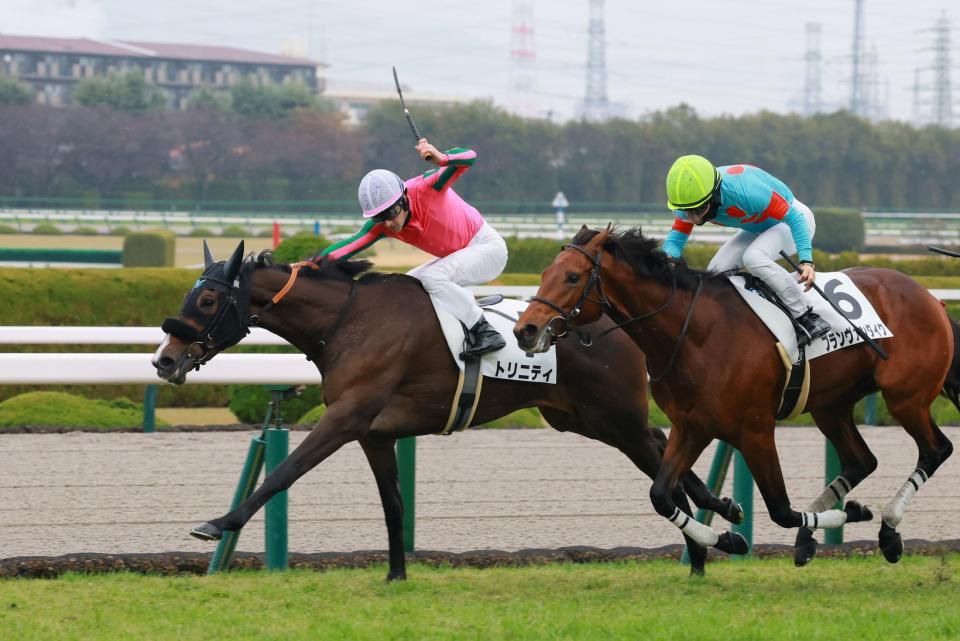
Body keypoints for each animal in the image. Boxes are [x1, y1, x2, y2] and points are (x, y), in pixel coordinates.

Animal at [151, 241, 743, 580]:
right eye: (188, 295)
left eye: (208, 300)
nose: (163, 359)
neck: (347, 321)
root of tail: (611, 322)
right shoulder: (375, 434)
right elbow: (393, 505)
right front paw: (395, 576)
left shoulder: (346, 417)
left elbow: (283, 473)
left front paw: (217, 523)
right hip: (580, 417)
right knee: (667, 451)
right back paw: (713, 536)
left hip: (613, 418)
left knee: (664, 454)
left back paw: (713, 535)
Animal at [514, 226, 960, 565]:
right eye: (545, 272)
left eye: (573, 277)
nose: (525, 330)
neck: (693, 333)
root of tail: (931, 297)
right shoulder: (691, 426)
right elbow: (661, 494)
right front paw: (728, 538)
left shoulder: (755, 431)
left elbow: (781, 510)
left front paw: (852, 512)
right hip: (831, 405)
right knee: (861, 460)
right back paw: (816, 537)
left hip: (906, 396)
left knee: (935, 449)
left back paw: (887, 529)